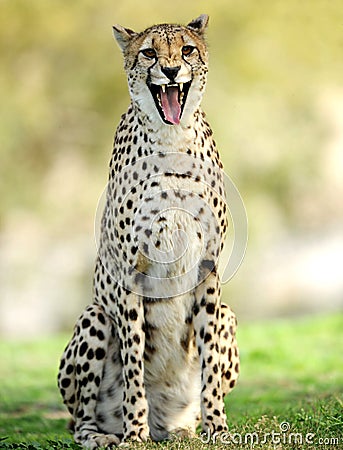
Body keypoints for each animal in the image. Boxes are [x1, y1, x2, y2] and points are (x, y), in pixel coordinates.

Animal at [57, 15, 241, 448]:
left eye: (186, 50)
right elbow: (134, 363)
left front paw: (218, 428)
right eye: (149, 53)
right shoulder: (131, 270)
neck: (172, 139)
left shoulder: (207, 267)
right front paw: (134, 432)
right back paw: (109, 434)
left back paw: (186, 427)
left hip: (228, 314)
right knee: (81, 418)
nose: (171, 71)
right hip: (94, 316)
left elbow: (209, 360)